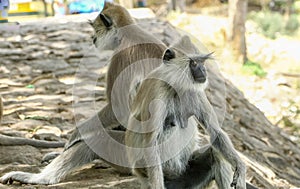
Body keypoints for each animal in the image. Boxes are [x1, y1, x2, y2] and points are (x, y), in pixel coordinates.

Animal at [126, 45, 246, 189]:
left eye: (202, 62)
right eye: (194, 63)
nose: (204, 70)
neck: (175, 85)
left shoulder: (195, 91)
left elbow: (216, 133)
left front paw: (240, 167)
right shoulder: (158, 91)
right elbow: (150, 142)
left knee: (215, 153)